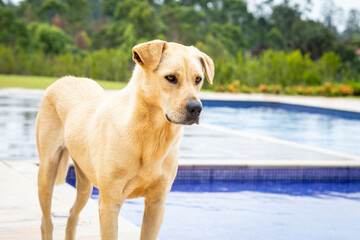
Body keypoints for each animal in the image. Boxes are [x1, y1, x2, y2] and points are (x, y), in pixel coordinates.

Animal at [35, 40, 214, 239]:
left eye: (198, 79)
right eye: (171, 77)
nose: (196, 108)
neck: (151, 136)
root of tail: (65, 78)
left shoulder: (156, 204)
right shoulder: (109, 204)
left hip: (85, 184)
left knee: (72, 215)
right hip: (47, 171)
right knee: (46, 222)